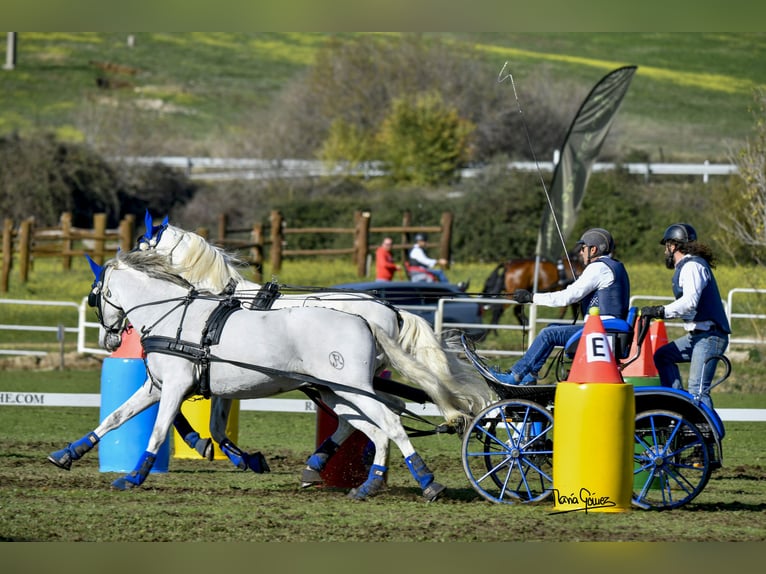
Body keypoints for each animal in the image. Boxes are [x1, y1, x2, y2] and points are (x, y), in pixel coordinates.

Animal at [48, 250, 450, 502]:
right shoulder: (158, 386)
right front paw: (68, 453)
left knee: (390, 423)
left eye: (94, 295)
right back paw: (364, 482)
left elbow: (161, 429)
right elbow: (117, 417)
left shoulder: (176, 386)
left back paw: (426, 481)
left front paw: (134, 476)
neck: (173, 315)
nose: (109, 339)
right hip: (336, 391)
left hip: (352, 389)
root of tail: (369, 318)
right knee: (370, 425)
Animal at [140, 216, 498, 476]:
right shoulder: (221, 374)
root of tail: (392, 311)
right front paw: (235, 455)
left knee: (370, 412)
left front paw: (207, 445)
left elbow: (200, 420)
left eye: (144, 244)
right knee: (375, 411)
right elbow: (212, 424)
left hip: (347, 378)